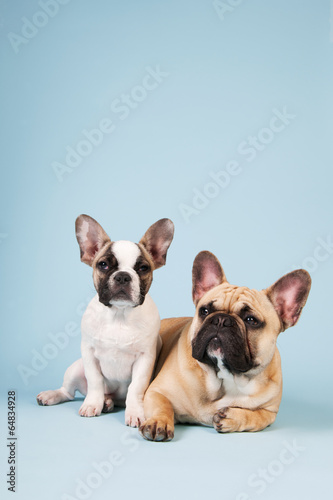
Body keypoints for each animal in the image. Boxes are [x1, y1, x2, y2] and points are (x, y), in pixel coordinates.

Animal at [37, 213, 174, 428]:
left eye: (143, 268)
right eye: (103, 265)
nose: (123, 276)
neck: (119, 314)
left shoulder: (145, 359)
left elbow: (136, 388)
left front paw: (135, 413)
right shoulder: (89, 353)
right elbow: (95, 381)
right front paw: (92, 404)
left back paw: (108, 403)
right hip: (75, 368)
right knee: (68, 392)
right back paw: (56, 395)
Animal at [139, 252, 310, 440]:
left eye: (251, 320)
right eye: (205, 311)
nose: (221, 320)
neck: (224, 377)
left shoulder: (270, 412)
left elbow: (257, 417)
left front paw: (233, 417)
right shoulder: (157, 391)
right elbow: (162, 406)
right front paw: (159, 422)